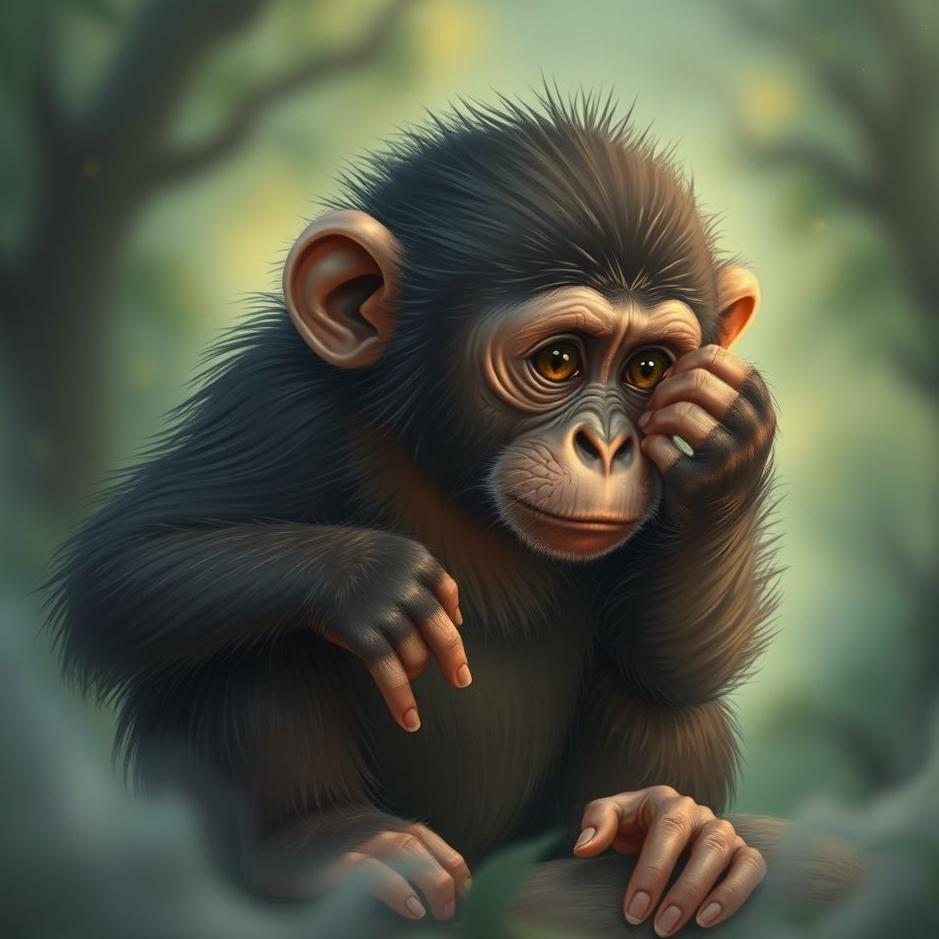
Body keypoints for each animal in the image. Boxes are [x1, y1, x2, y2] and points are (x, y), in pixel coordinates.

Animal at [46, 91, 848, 937]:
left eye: (649, 369)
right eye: (558, 359)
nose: (606, 444)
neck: (449, 470)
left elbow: (675, 656)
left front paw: (726, 433)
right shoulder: (274, 403)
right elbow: (122, 571)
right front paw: (372, 579)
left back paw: (665, 823)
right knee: (256, 641)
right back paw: (320, 839)